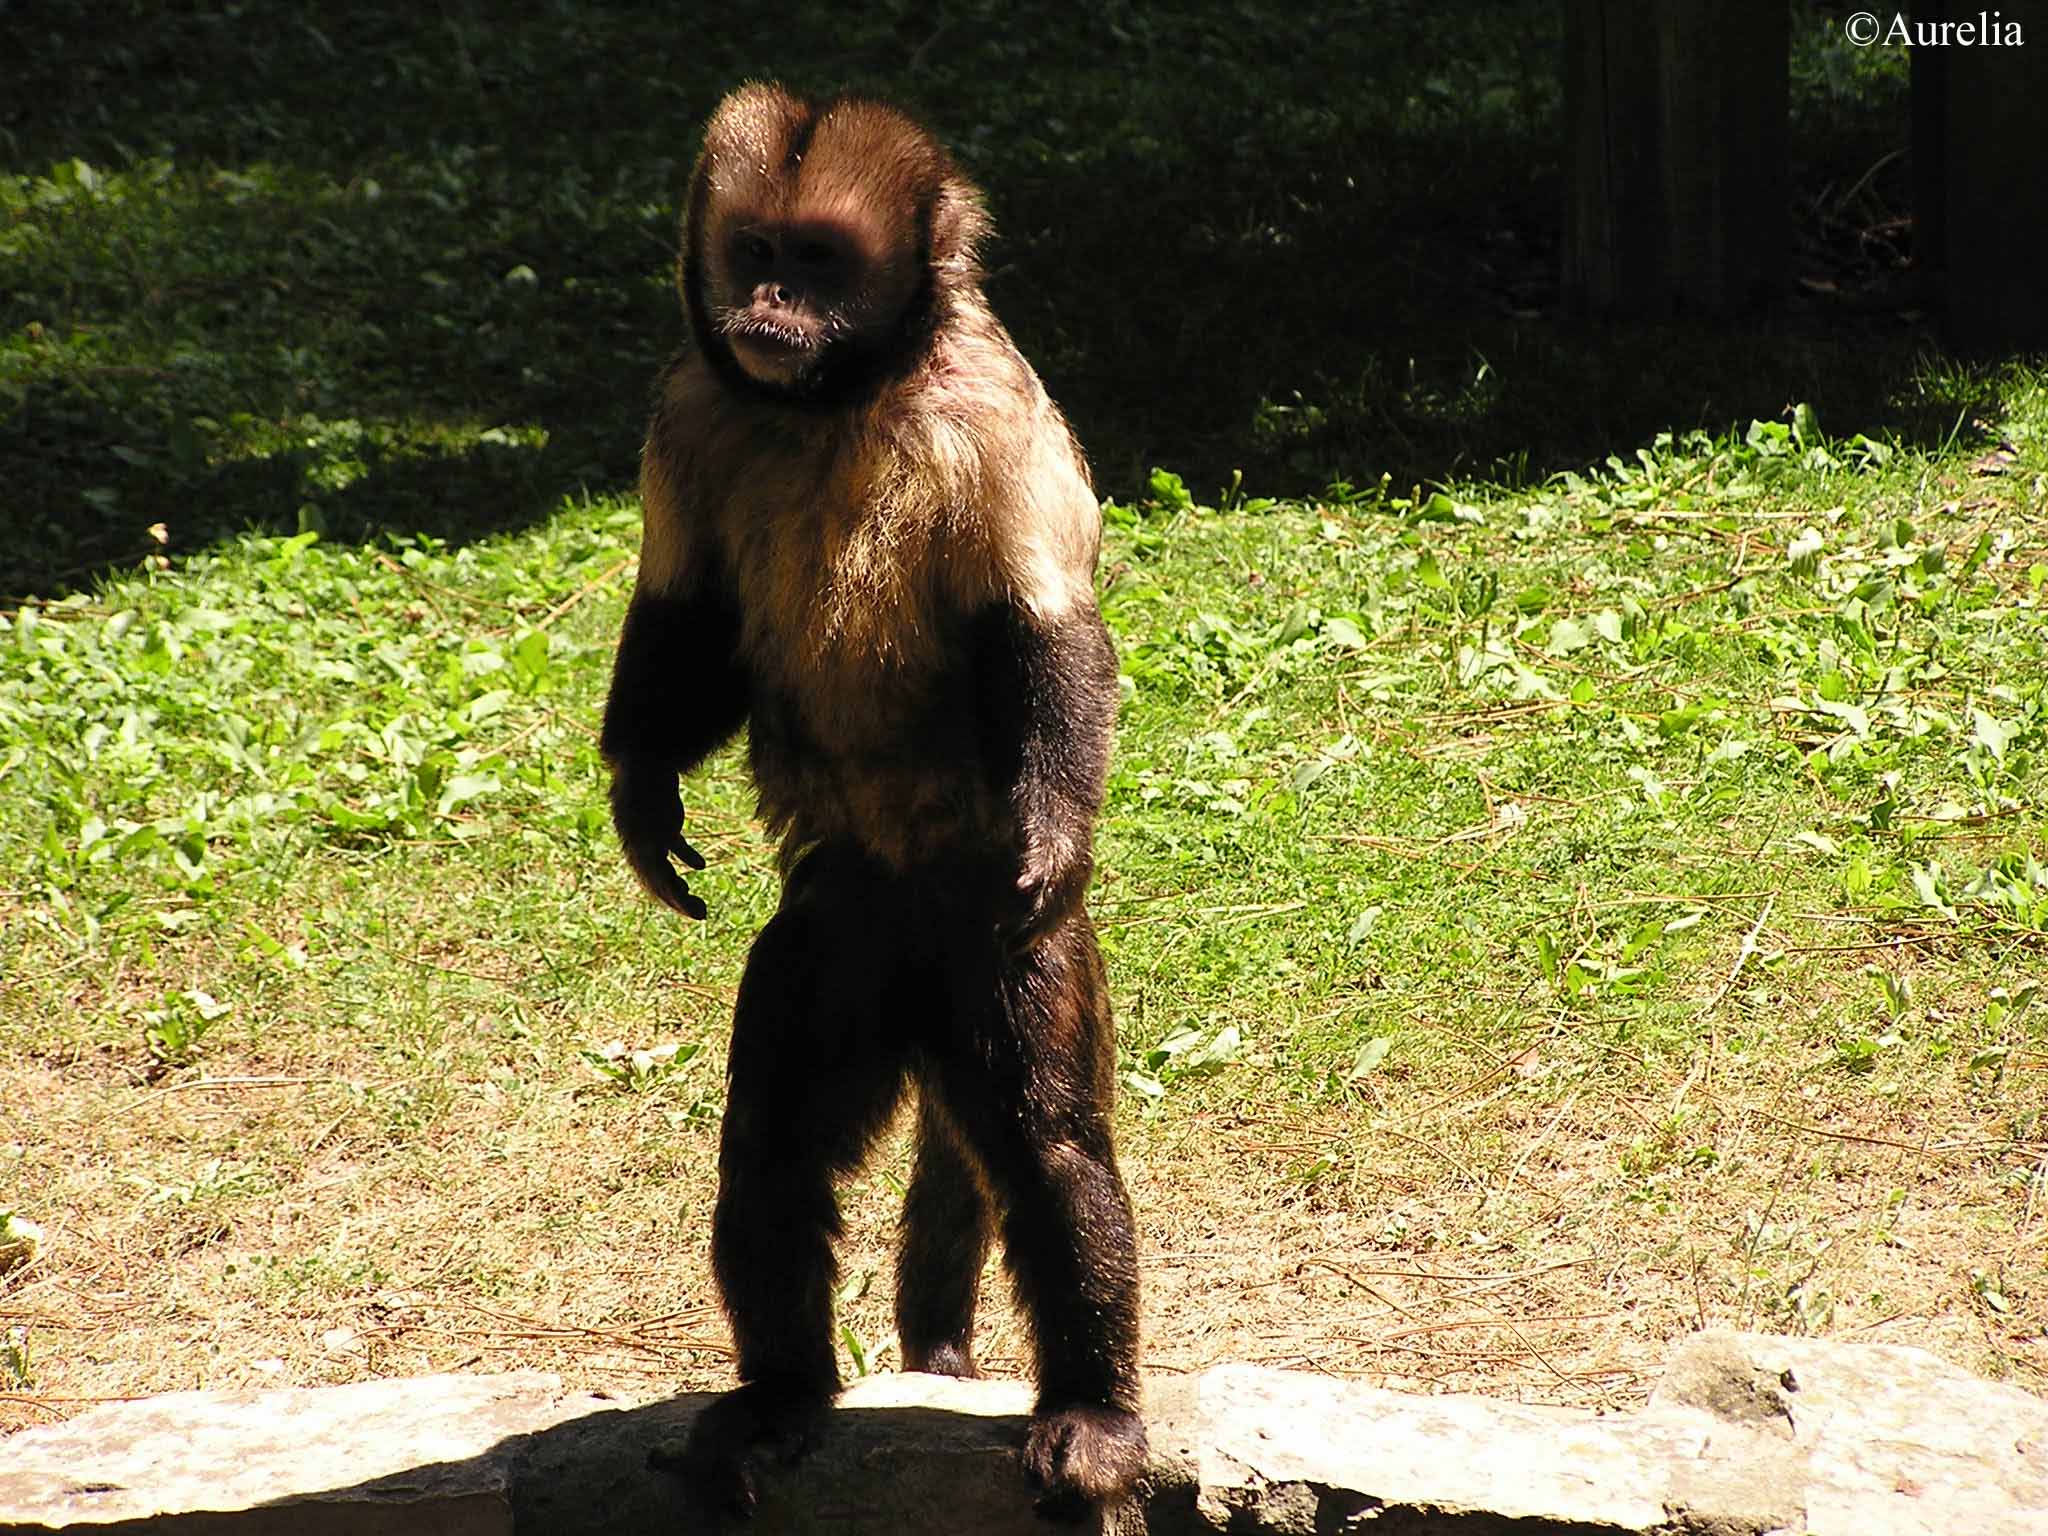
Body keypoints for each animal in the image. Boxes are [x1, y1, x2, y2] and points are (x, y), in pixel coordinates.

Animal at [602, 87, 1155, 1531]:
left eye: (822, 262)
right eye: (756, 253)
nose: (769, 305)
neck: (838, 400)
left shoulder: (994, 405)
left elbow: (1047, 631)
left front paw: (1055, 829)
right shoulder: (690, 404)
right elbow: (689, 618)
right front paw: (639, 797)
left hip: (993, 958)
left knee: (1050, 1152)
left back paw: (1094, 1412)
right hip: (834, 946)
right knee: (775, 1147)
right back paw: (783, 1394)